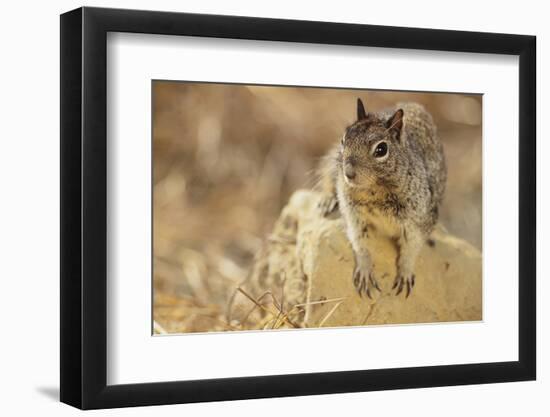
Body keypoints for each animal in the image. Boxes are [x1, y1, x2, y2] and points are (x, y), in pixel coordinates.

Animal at [320, 98, 448, 298]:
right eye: (343, 140)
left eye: (381, 149)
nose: (348, 173)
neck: (375, 190)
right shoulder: (354, 216)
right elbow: (360, 244)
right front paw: (365, 271)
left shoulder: (417, 220)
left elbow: (411, 248)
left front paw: (405, 273)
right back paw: (327, 199)